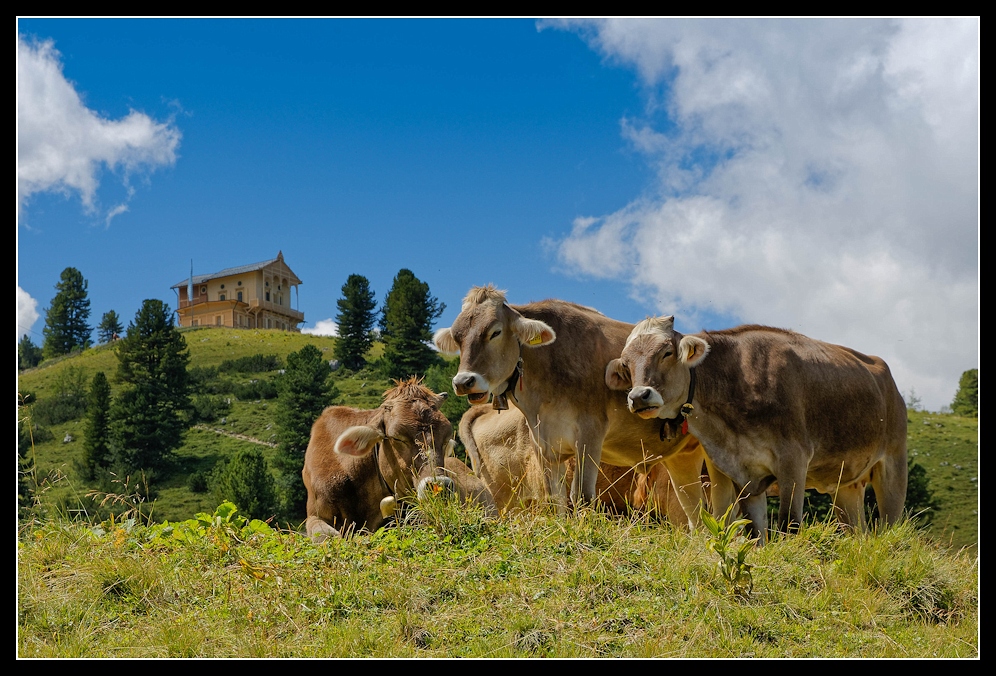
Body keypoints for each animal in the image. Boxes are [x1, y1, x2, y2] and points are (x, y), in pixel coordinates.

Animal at [436, 286, 732, 528]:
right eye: (458, 338)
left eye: (495, 332)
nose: (463, 381)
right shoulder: (545, 443)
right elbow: (555, 498)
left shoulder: (590, 434)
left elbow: (581, 496)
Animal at [608, 316, 912, 544]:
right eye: (626, 364)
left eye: (667, 353)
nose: (639, 397)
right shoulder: (740, 471)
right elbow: (754, 532)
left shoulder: (793, 459)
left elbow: (789, 524)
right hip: (846, 484)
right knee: (858, 532)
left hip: (893, 465)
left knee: (890, 526)